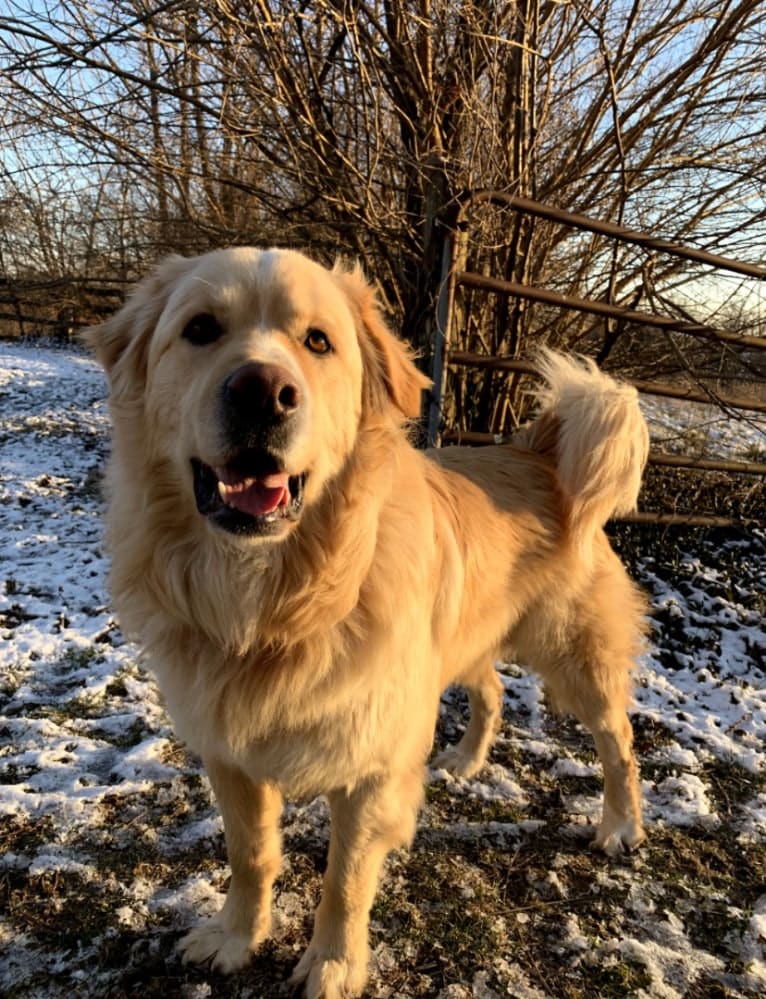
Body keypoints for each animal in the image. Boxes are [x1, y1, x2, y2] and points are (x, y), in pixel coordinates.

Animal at [87, 248, 652, 999]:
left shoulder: (372, 767)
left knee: (620, 743)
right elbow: (250, 854)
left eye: (318, 341)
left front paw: (332, 965)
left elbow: (345, 879)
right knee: (493, 690)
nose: (263, 392)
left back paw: (620, 825)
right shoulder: (229, 751)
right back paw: (465, 762)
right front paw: (236, 937)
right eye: (201, 329)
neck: (279, 595)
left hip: (578, 659)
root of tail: (537, 453)